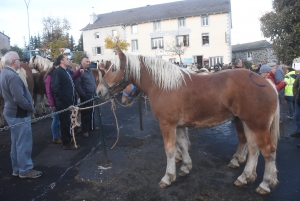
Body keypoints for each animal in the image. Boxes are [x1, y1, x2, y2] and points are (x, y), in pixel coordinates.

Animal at [96, 47, 282, 195]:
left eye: (114, 69)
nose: (99, 92)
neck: (164, 86)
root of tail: (266, 82)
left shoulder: (167, 125)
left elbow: (170, 150)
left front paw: (168, 177)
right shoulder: (178, 126)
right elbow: (183, 145)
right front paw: (185, 167)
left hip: (257, 126)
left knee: (268, 151)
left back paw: (265, 184)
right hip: (248, 123)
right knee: (253, 149)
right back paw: (245, 176)